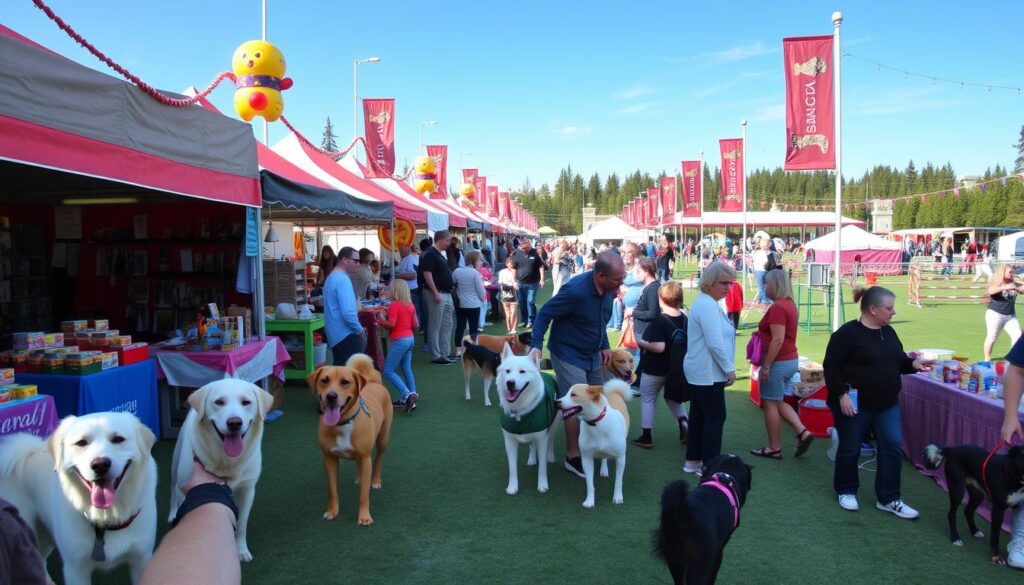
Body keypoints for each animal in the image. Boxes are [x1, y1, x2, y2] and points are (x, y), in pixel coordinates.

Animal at [167, 379, 274, 561]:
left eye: (246, 402)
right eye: (219, 402)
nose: (234, 423)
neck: (227, 462)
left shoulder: (247, 489)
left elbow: (241, 525)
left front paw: (241, 550)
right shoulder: (187, 488)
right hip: (176, 464)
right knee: (173, 490)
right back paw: (172, 513)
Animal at [303, 354, 391, 528]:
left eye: (345, 382)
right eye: (324, 380)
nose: (331, 396)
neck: (342, 423)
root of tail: (373, 382)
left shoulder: (365, 458)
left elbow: (364, 494)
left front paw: (364, 517)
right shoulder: (329, 459)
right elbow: (332, 491)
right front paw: (332, 512)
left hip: (383, 439)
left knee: (378, 457)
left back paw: (376, 480)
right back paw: (359, 478)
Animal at [497, 344, 561, 499]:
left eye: (522, 371)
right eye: (507, 371)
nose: (510, 383)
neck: (519, 411)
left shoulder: (542, 438)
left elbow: (542, 466)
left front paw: (542, 485)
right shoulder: (509, 441)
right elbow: (512, 468)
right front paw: (512, 487)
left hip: (554, 424)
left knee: (551, 441)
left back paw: (550, 456)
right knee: (532, 445)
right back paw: (532, 459)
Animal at [557, 379, 626, 508]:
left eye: (573, 394)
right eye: (567, 393)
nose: (556, 402)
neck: (596, 423)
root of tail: (613, 393)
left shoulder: (620, 458)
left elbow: (618, 482)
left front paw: (618, 497)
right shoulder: (587, 459)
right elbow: (590, 485)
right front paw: (589, 501)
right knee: (604, 457)